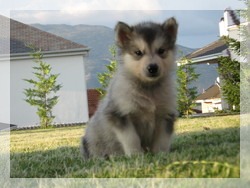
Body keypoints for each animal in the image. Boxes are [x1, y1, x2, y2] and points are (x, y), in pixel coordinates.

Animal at [81, 17, 177, 159]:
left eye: (161, 51)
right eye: (138, 52)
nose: (152, 68)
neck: (148, 88)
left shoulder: (166, 114)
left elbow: (162, 139)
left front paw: (161, 154)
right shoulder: (119, 114)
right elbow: (131, 138)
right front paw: (135, 155)